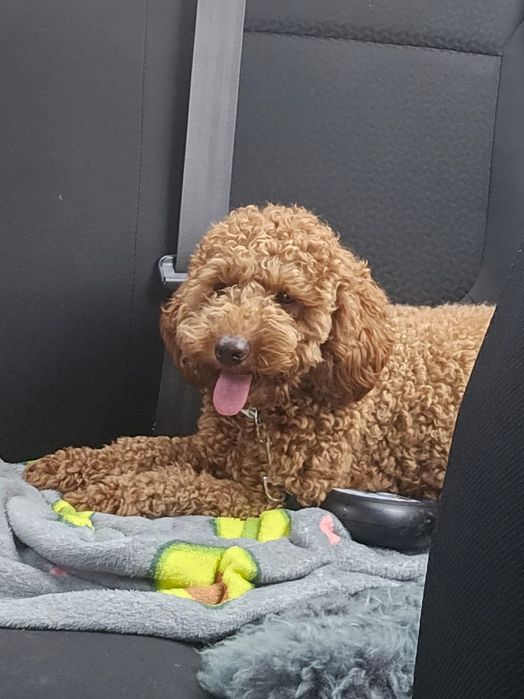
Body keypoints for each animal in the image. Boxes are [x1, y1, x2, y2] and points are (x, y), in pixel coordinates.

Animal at [24, 204, 493, 517]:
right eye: (219, 287)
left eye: (286, 298)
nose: (230, 349)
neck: (262, 416)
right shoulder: (209, 448)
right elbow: (141, 447)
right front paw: (71, 464)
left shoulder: (270, 494)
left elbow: (174, 482)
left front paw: (106, 492)